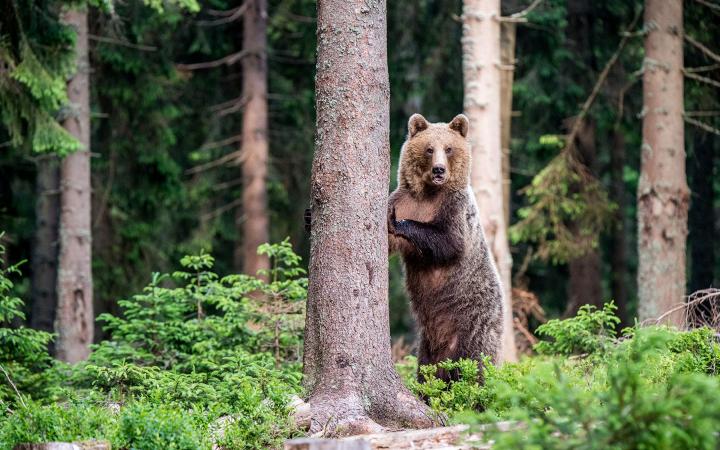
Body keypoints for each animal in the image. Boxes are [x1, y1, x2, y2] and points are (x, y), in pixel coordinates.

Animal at [390, 112, 504, 380]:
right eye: (429, 149)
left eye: (449, 148)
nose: (439, 169)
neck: (429, 194)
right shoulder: (404, 200)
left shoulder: (455, 208)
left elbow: (449, 242)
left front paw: (399, 223)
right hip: (427, 343)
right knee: (427, 369)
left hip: (472, 321)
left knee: (476, 364)